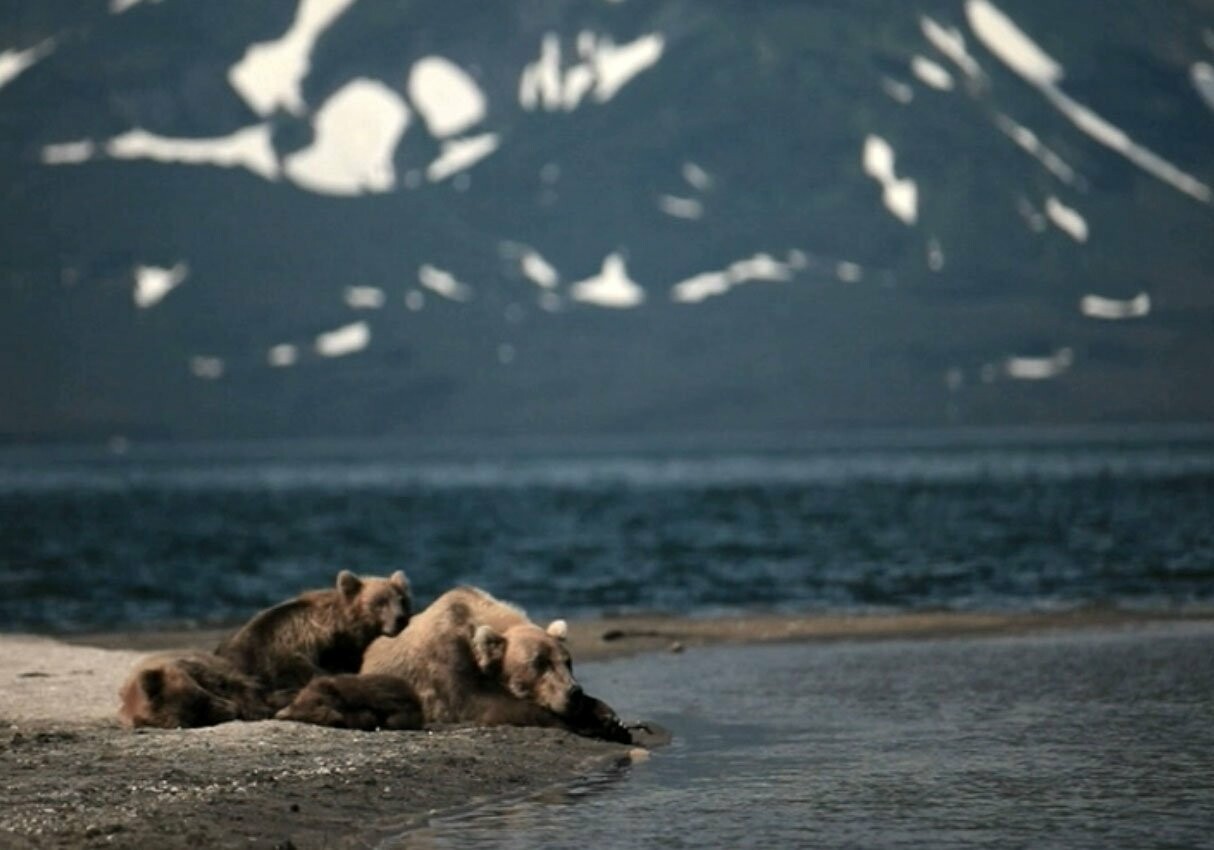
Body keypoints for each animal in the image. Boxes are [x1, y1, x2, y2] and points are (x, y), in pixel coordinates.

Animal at [356, 587, 626, 738]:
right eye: (539, 663)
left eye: (567, 661)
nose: (573, 692)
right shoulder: (447, 662)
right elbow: (485, 705)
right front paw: (590, 724)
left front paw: (609, 718)